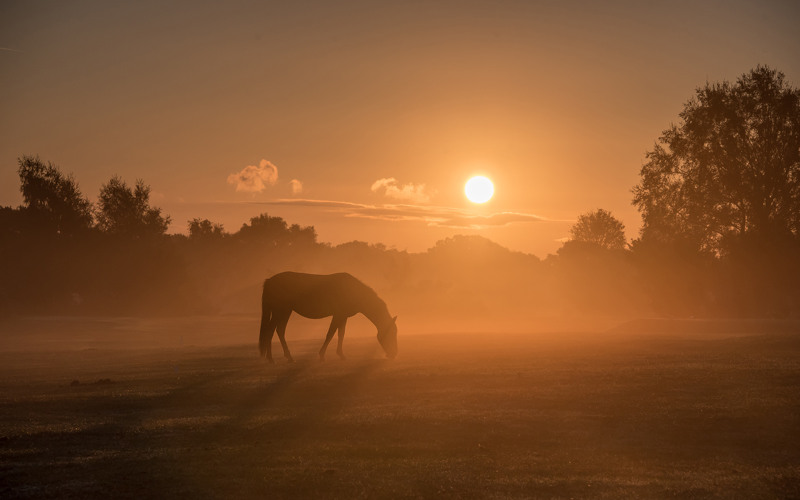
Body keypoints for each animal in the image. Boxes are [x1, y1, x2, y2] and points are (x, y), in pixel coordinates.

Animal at [260, 274, 398, 364]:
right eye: (392, 333)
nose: (393, 354)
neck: (353, 291)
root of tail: (269, 281)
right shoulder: (338, 315)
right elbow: (330, 334)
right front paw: (322, 355)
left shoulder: (343, 316)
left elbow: (341, 334)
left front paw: (341, 354)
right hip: (280, 311)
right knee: (270, 330)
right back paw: (271, 358)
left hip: (285, 311)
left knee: (280, 331)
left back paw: (288, 357)